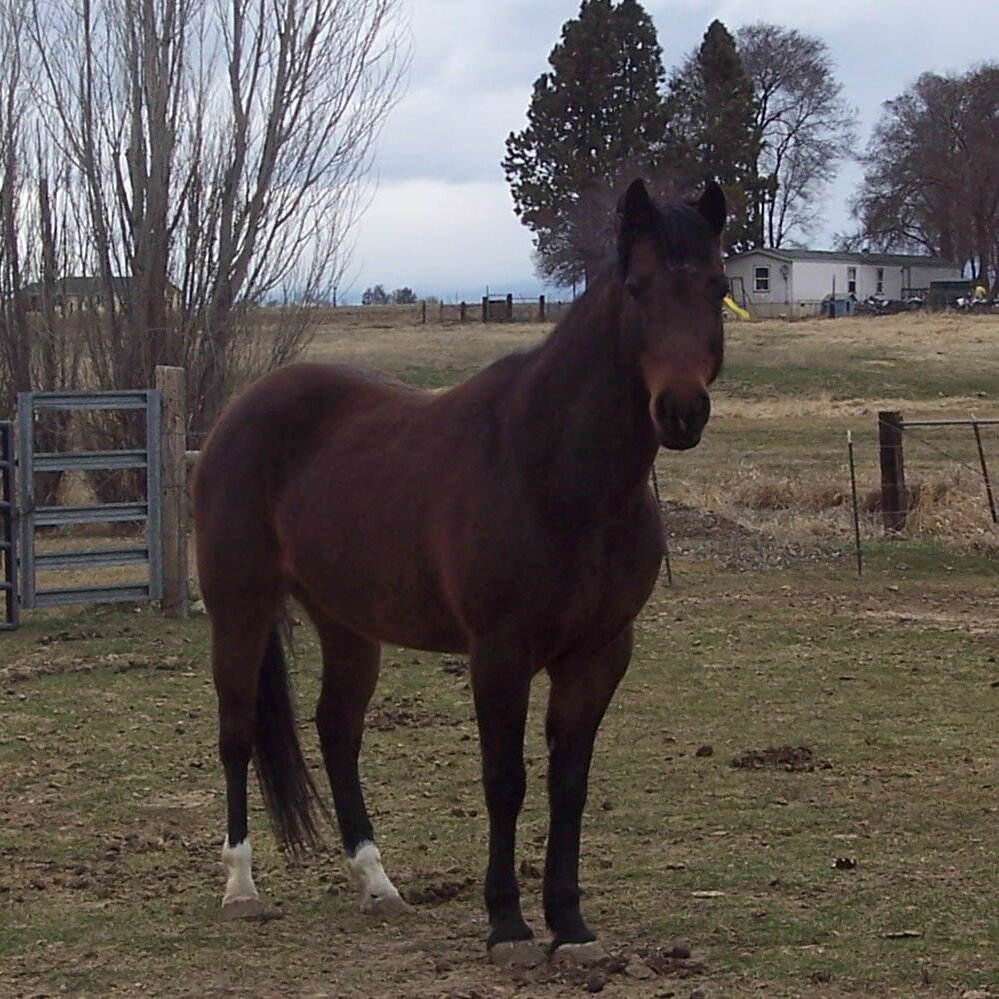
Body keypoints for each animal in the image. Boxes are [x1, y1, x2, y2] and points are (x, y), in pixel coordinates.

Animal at [192, 178, 727, 968]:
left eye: (718, 288)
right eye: (638, 287)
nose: (682, 410)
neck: (555, 473)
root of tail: (241, 409)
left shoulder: (599, 654)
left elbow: (569, 784)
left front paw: (570, 925)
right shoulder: (498, 654)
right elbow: (504, 781)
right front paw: (507, 925)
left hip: (347, 622)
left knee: (337, 731)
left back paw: (376, 883)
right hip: (240, 605)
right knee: (235, 731)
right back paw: (240, 888)